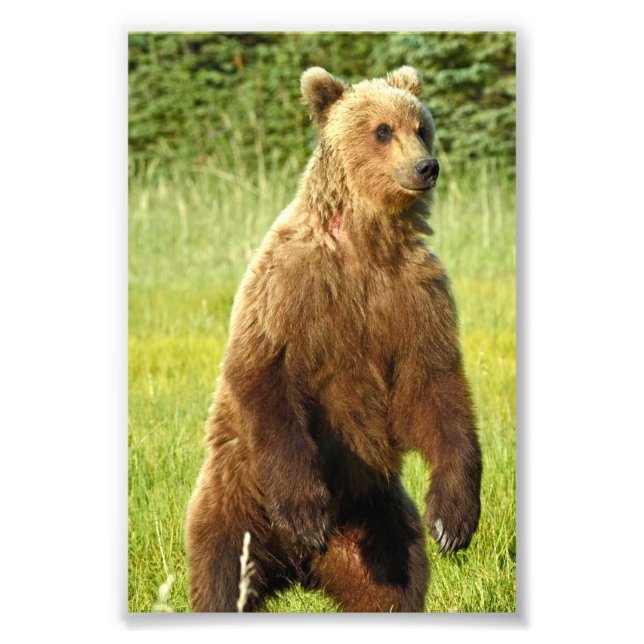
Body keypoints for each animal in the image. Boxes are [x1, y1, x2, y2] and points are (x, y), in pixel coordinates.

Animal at [185, 66, 482, 612]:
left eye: (421, 127)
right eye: (382, 130)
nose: (426, 166)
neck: (369, 242)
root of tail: (296, 568)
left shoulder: (414, 297)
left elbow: (433, 387)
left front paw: (452, 520)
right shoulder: (291, 287)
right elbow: (264, 373)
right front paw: (306, 513)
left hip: (378, 518)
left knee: (395, 582)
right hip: (235, 501)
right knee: (221, 575)